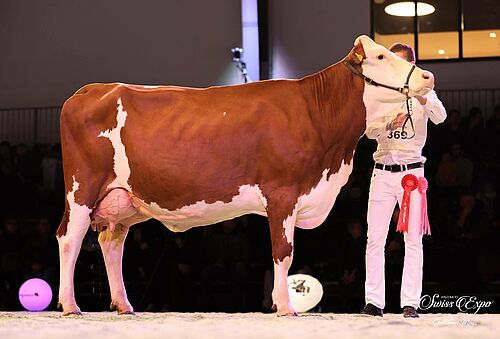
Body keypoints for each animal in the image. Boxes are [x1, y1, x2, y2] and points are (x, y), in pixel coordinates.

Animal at [56, 35, 436, 316]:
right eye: (381, 57)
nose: (427, 77)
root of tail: (90, 89)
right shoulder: (282, 192)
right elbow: (284, 252)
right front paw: (285, 307)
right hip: (82, 190)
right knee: (69, 239)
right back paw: (71, 305)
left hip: (124, 201)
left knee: (111, 243)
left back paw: (124, 305)